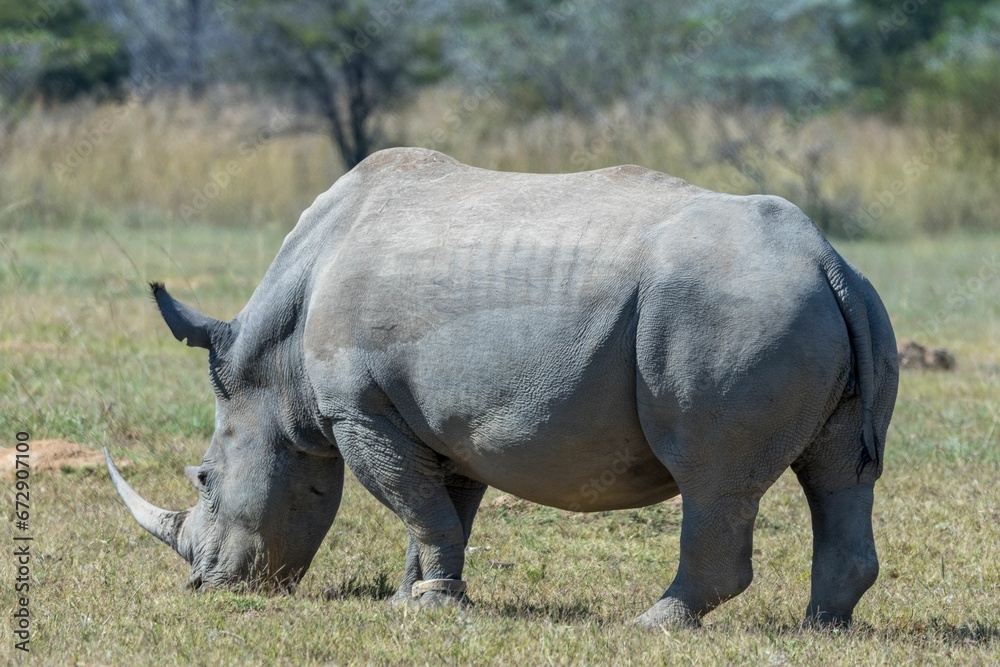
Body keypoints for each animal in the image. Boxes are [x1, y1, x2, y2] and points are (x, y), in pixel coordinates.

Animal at [106, 147, 898, 627]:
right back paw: (822, 629)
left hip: (727, 314)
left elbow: (420, 509)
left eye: (204, 479)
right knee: (839, 473)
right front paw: (412, 600)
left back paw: (654, 624)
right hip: (839, 305)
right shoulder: (436, 420)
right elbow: (439, 513)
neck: (272, 373)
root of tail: (823, 255)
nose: (203, 583)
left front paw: (432, 608)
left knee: (712, 479)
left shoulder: (360, 411)